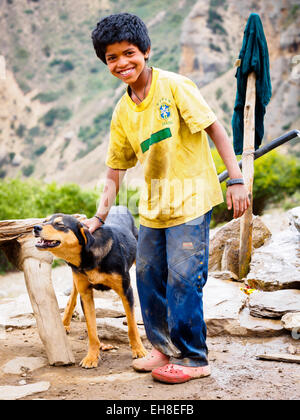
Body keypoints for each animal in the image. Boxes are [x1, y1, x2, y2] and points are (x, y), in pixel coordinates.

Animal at [33, 206, 147, 368]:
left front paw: (138, 350)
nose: (36, 227)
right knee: (72, 298)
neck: (88, 258)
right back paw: (64, 324)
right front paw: (91, 357)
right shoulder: (85, 294)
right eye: (44, 221)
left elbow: (131, 326)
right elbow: (92, 331)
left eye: (60, 225)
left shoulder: (126, 291)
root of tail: (119, 207)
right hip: (76, 279)